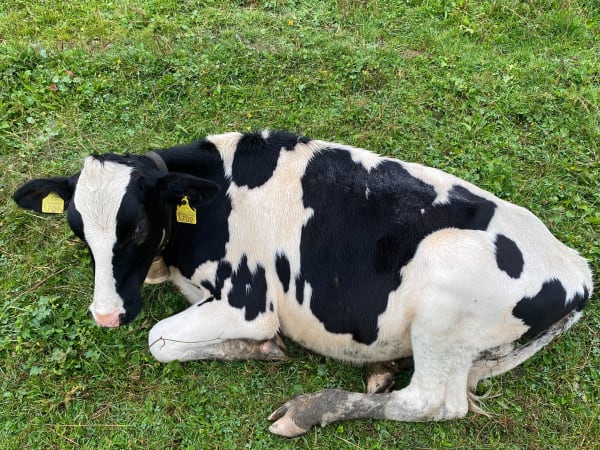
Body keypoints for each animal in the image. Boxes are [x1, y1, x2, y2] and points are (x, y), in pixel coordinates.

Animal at [13, 130, 593, 437]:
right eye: (78, 230)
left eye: (134, 228)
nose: (106, 314)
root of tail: (575, 267)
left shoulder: (248, 301)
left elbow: (159, 340)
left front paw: (262, 348)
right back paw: (380, 371)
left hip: (442, 286)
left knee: (431, 403)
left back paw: (307, 410)